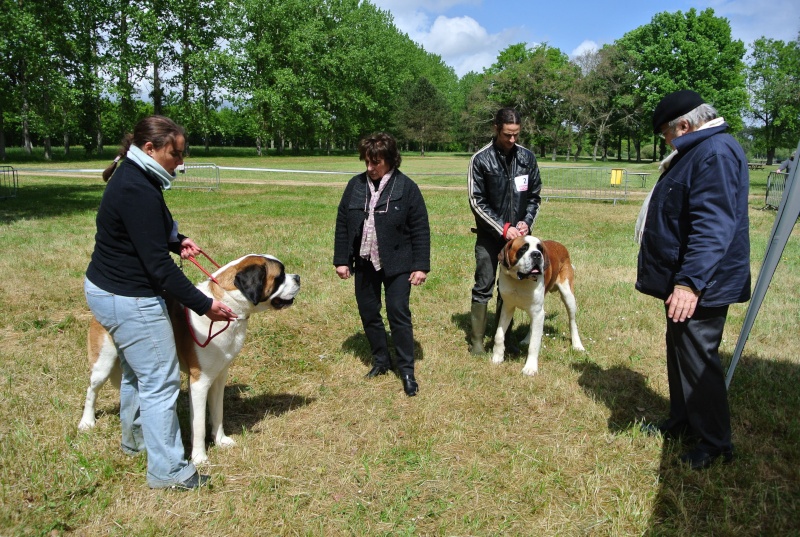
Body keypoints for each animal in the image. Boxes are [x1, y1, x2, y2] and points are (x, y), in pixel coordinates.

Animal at [78, 253, 300, 462]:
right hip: (103, 363)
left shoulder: (219, 377)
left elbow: (218, 412)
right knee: (91, 390)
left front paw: (220, 440)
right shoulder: (199, 382)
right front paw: (200, 457)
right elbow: (199, 424)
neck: (228, 304)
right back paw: (87, 422)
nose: (297, 277)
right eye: (280, 276)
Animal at [490, 237, 584, 374]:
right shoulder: (507, 308)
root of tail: (561, 246)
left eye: (540, 249)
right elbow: (499, 334)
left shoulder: (537, 313)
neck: (519, 281)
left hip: (568, 296)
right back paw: (526, 340)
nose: (537, 254)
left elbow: (534, 345)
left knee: (572, 321)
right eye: (523, 248)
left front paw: (530, 367)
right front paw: (497, 356)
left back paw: (577, 344)